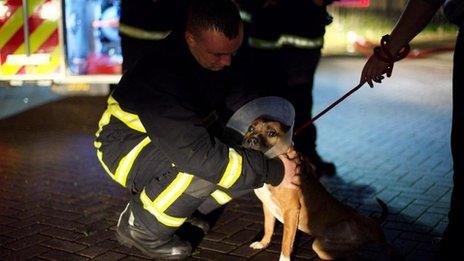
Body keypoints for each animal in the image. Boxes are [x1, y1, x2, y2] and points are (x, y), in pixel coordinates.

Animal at [243, 116, 396, 260]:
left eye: (271, 133)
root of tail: (365, 225)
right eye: (250, 128)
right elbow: (268, 227)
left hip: (322, 245)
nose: (251, 140)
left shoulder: (291, 210)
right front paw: (263, 243)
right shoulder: (268, 206)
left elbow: (286, 243)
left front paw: (284, 259)